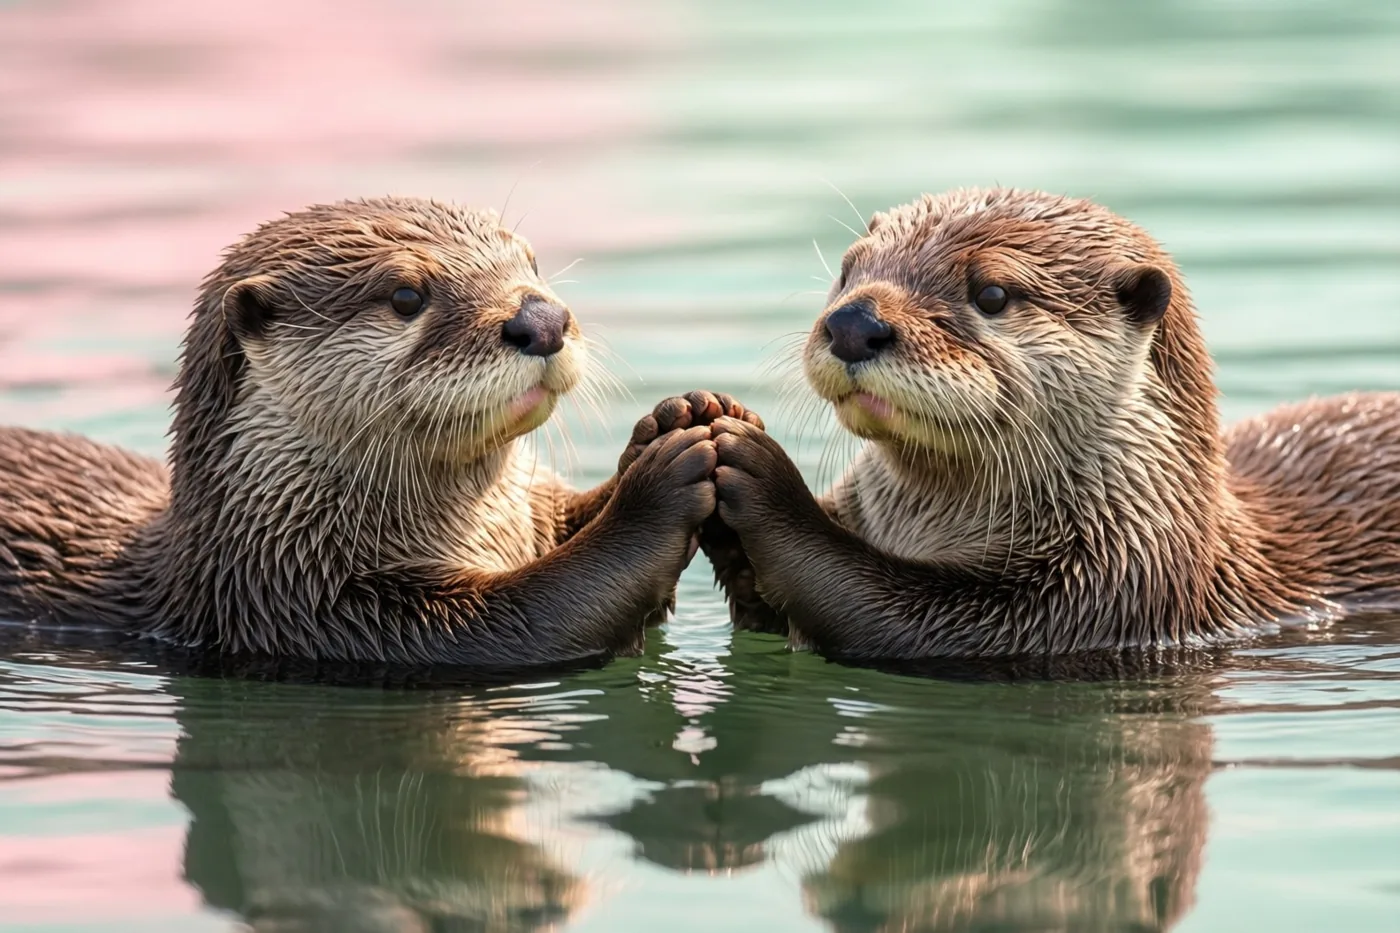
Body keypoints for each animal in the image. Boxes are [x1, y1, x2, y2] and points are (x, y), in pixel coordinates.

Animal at [0, 197, 717, 669]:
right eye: (406, 296)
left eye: (532, 264)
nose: (542, 319)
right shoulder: (318, 610)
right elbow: (538, 617)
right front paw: (661, 484)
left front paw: (675, 420)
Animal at [692, 187, 1400, 662]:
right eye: (847, 270)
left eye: (992, 294)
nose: (853, 323)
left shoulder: (1098, 598)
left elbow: (885, 612)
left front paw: (759, 471)